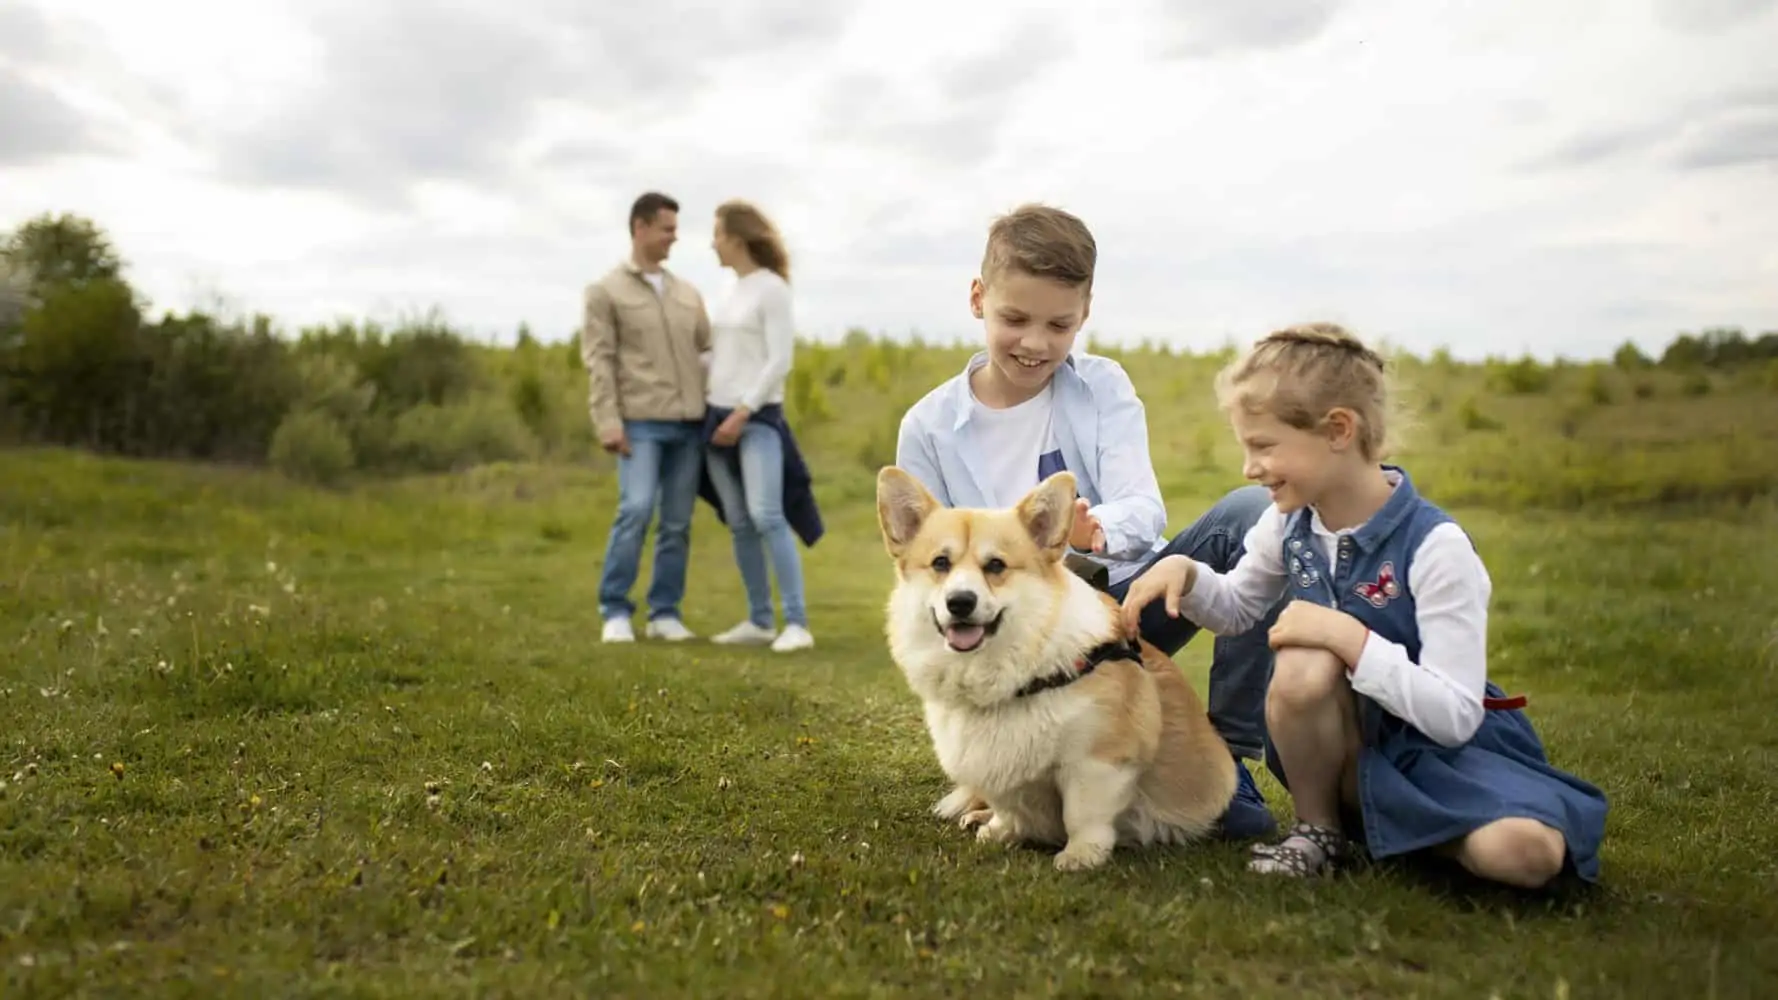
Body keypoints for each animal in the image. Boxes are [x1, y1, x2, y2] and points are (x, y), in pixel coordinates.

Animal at [871, 466, 1237, 864]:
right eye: (940, 563)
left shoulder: (1097, 760)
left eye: (996, 565)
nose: (960, 602)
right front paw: (1000, 830)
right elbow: (1008, 808)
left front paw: (1080, 856)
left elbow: (1083, 813)